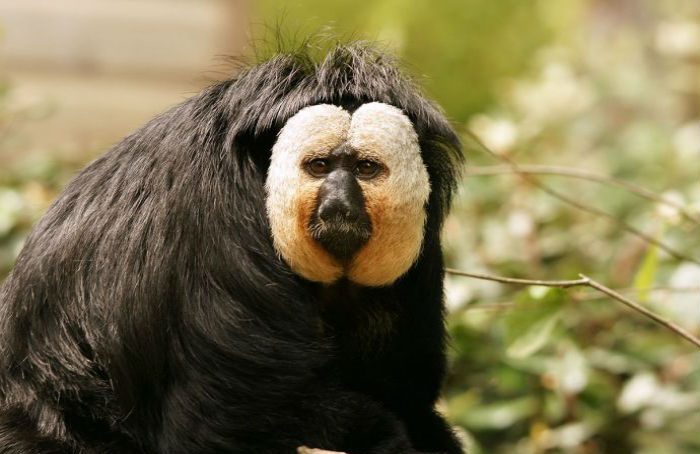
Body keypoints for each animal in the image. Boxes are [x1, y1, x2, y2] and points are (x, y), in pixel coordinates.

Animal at [0, 42, 464, 453]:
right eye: (319, 166)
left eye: (366, 168)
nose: (338, 204)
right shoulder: (216, 221)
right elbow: (233, 418)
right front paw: (384, 438)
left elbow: (403, 391)